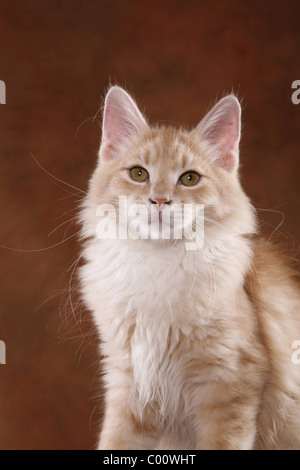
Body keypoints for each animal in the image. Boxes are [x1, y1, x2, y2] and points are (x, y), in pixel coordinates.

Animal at [79, 86, 300, 450]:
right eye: (139, 174)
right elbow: (115, 442)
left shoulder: (230, 380)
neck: (159, 262)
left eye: (190, 179)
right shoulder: (129, 379)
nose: (159, 200)